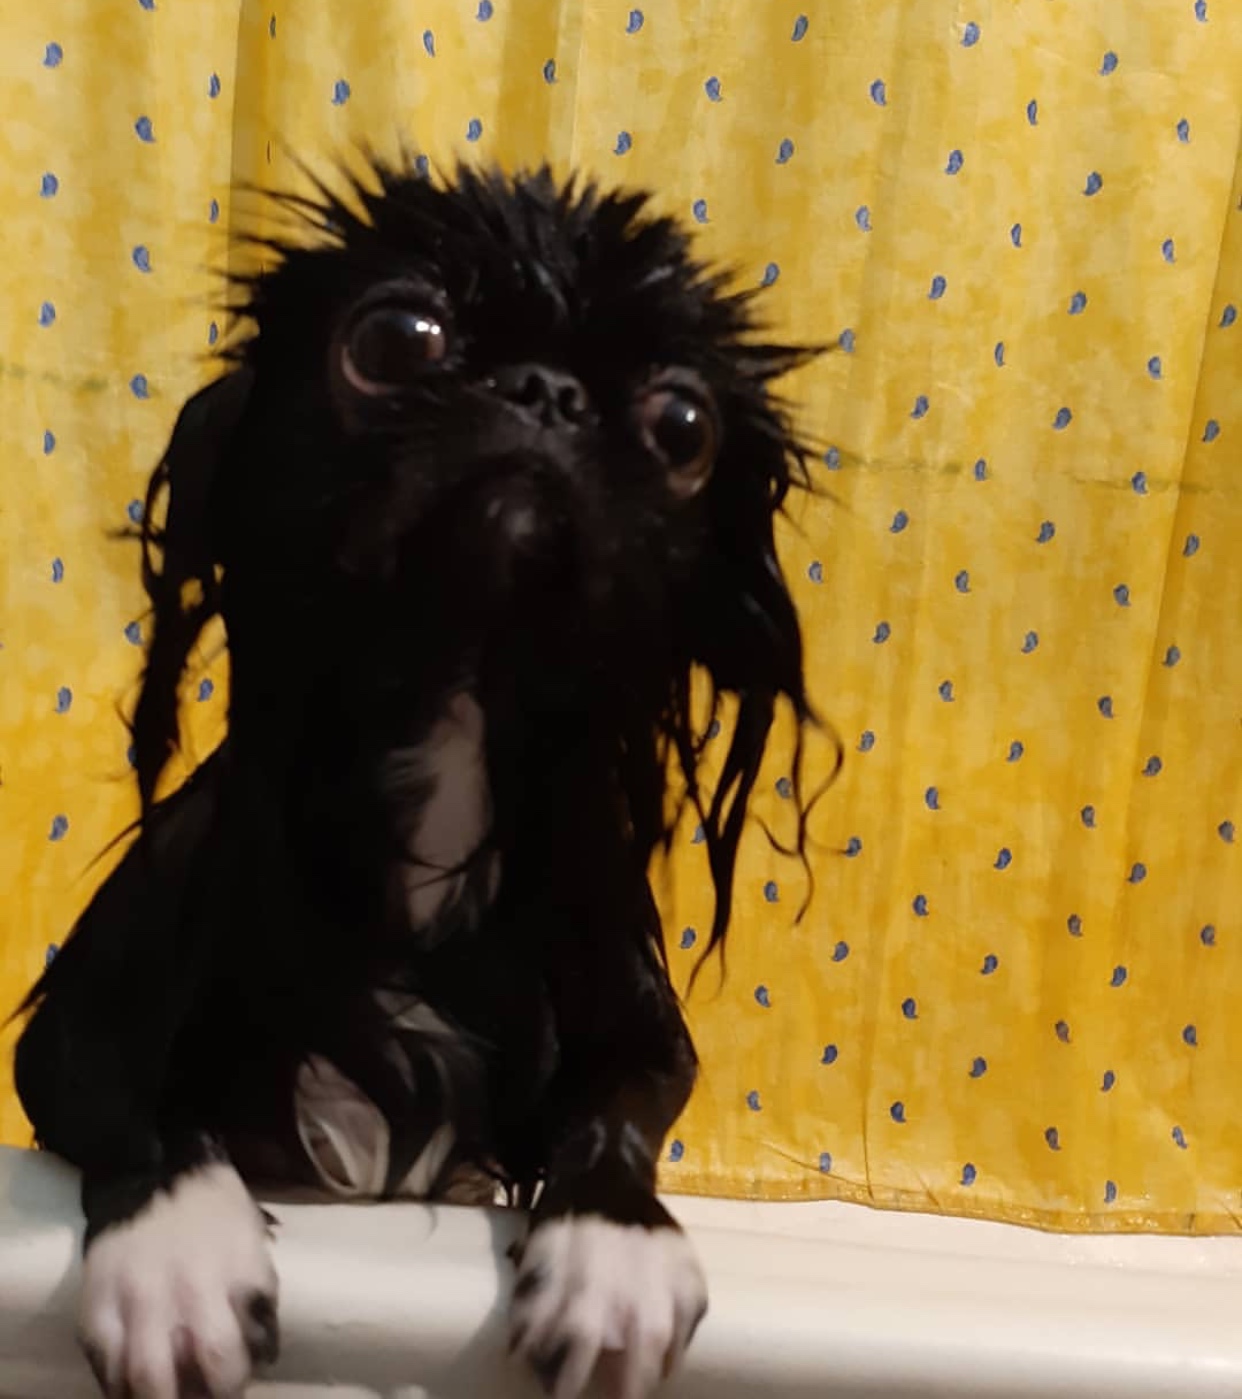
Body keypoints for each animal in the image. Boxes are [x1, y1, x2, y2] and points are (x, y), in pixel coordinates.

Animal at [19, 158, 822, 1399]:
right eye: (397, 339)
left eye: (684, 425)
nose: (545, 391)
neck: (456, 707)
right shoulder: (72, 1026)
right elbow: (147, 1119)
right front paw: (176, 1263)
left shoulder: (635, 1025)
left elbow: (614, 1123)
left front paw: (615, 1258)